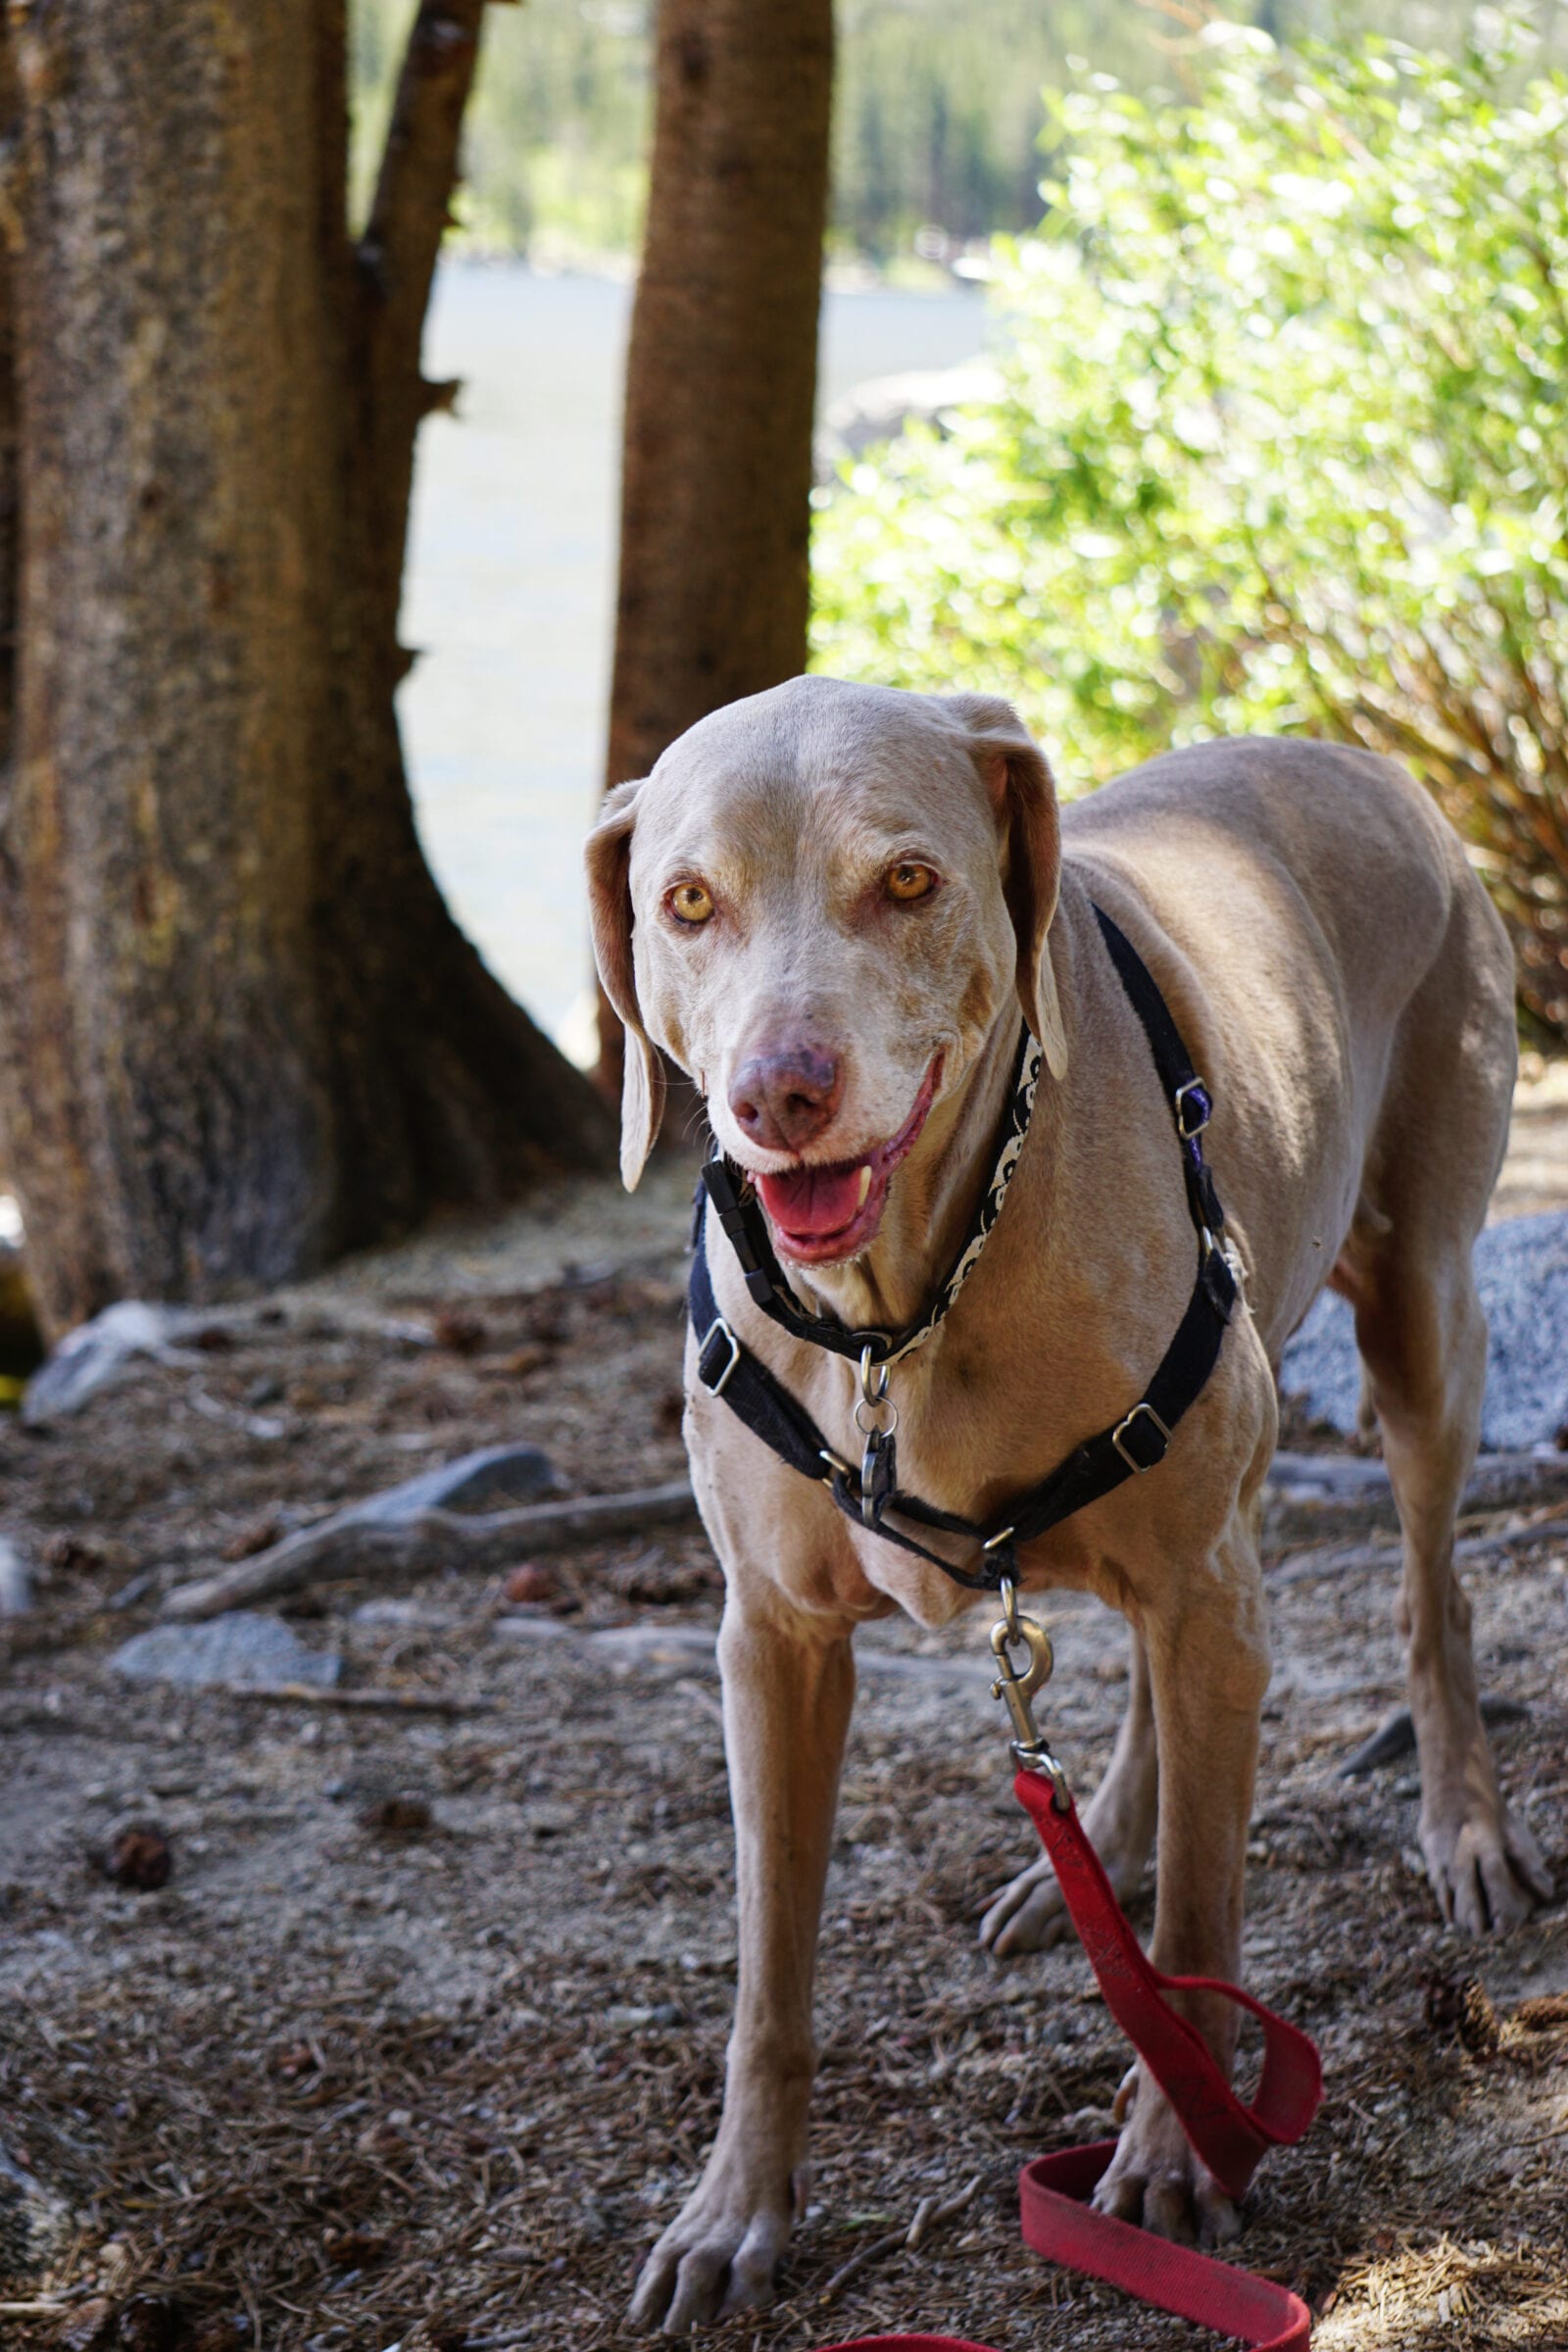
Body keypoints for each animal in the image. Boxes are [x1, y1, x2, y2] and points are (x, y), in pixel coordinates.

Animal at [587, 682, 1560, 2332]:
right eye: (687, 903)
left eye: (908, 880)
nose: (778, 1093)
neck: (905, 1314)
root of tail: (1351, 756)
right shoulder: (769, 1644)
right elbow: (768, 1976)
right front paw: (732, 2215)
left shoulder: (1203, 1581)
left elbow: (1201, 1919)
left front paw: (1181, 2147)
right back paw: (1094, 1851)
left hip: (1424, 1306)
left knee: (1428, 1592)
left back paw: (1465, 1828)